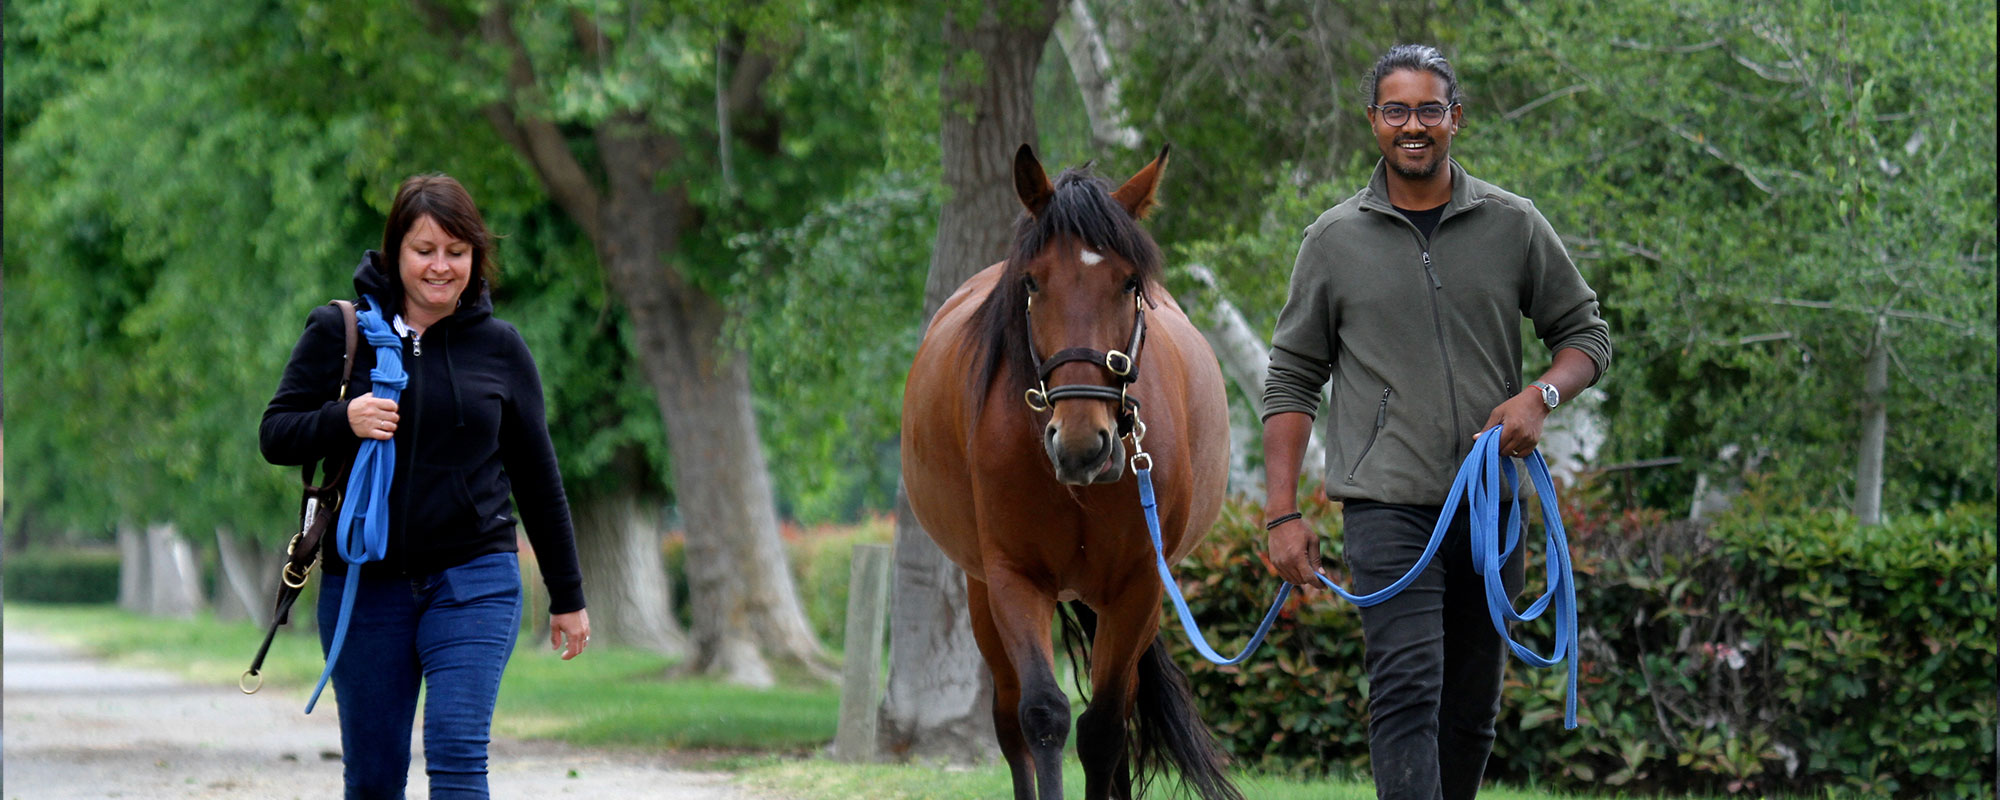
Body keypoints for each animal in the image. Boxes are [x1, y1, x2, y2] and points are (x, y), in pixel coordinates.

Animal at [904, 147, 1240, 800]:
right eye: (1033, 282)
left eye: (1130, 282)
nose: (1083, 444)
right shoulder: (1015, 578)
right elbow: (1044, 716)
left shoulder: (1139, 585)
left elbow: (1105, 728)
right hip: (982, 594)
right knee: (1010, 724)